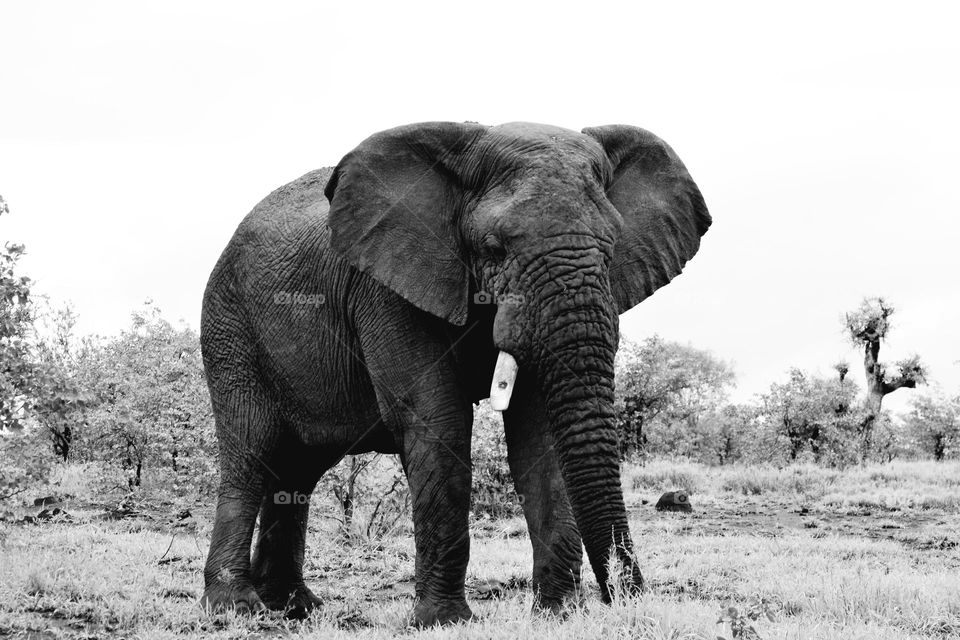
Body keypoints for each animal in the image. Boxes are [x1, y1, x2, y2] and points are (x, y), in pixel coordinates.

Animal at [199, 121, 710, 625]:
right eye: (495, 247)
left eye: (611, 247)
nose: (626, 597)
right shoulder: (388, 289)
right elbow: (437, 421)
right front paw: (444, 621)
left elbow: (539, 437)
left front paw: (559, 614)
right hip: (229, 329)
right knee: (252, 451)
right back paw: (235, 607)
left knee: (298, 471)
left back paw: (293, 607)